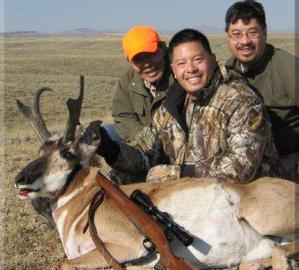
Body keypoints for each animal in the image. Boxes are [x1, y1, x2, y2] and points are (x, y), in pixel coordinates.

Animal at [15, 77, 298, 268]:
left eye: (67, 153)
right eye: (40, 150)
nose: (19, 179)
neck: (83, 200)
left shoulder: (124, 246)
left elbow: (64, 263)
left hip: (259, 214)